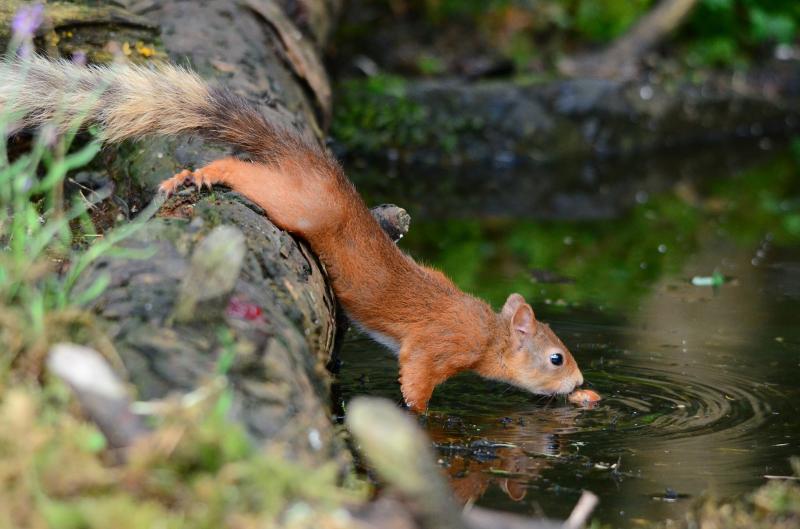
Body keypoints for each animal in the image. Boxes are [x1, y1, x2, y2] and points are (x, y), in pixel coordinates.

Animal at [0, 58, 588, 412]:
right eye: (556, 358)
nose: (580, 384)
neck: (487, 332)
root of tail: (312, 161)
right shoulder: (437, 346)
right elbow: (415, 381)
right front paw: (419, 415)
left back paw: (184, 176)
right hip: (298, 204)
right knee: (244, 172)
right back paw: (206, 174)